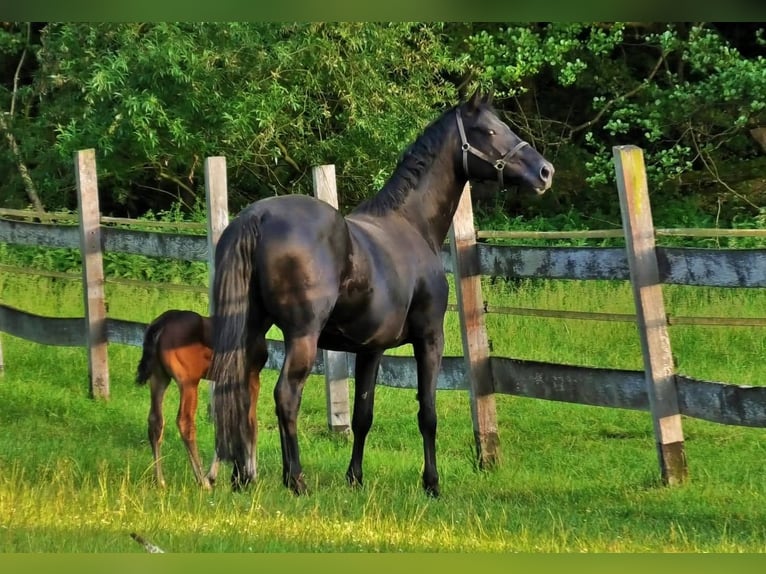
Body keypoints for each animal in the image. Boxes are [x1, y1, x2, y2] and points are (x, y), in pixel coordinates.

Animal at [208, 90, 554, 497]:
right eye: (489, 131)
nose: (545, 172)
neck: (412, 224)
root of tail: (257, 218)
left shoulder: (370, 349)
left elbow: (363, 415)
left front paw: (355, 477)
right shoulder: (429, 338)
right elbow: (427, 413)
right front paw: (432, 483)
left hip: (251, 332)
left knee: (241, 390)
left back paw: (243, 477)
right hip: (302, 337)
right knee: (286, 397)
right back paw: (296, 480)